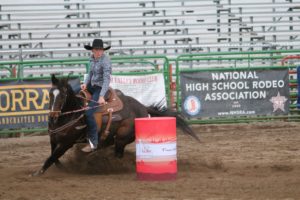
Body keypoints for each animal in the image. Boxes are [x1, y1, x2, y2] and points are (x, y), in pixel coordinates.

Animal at [31, 74, 199, 176]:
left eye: (63, 95)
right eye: (50, 93)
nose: (53, 116)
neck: (72, 112)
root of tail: (143, 107)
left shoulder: (67, 142)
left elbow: (52, 157)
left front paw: (37, 173)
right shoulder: (54, 139)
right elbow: (53, 156)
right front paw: (60, 167)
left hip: (122, 137)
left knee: (117, 155)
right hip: (111, 137)